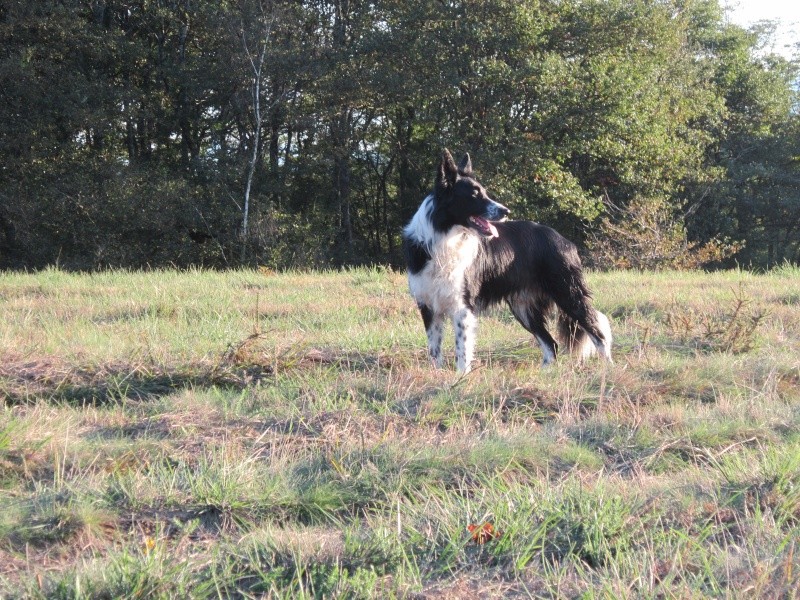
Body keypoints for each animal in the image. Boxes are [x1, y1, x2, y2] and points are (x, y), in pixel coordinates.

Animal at [400, 150, 612, 372]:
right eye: (474, 194)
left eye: (484, 193)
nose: (506, 211)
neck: (445, 237)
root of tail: (564, 240)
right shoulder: (428, 306)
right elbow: (434, 351)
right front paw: (438, 374)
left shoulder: (462, 306)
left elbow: (462, 350)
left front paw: (462, 376)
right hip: (524, 308)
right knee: (551, 344)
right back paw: (545, 373)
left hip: (568, 294)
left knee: (598, 333)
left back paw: (608, 368)